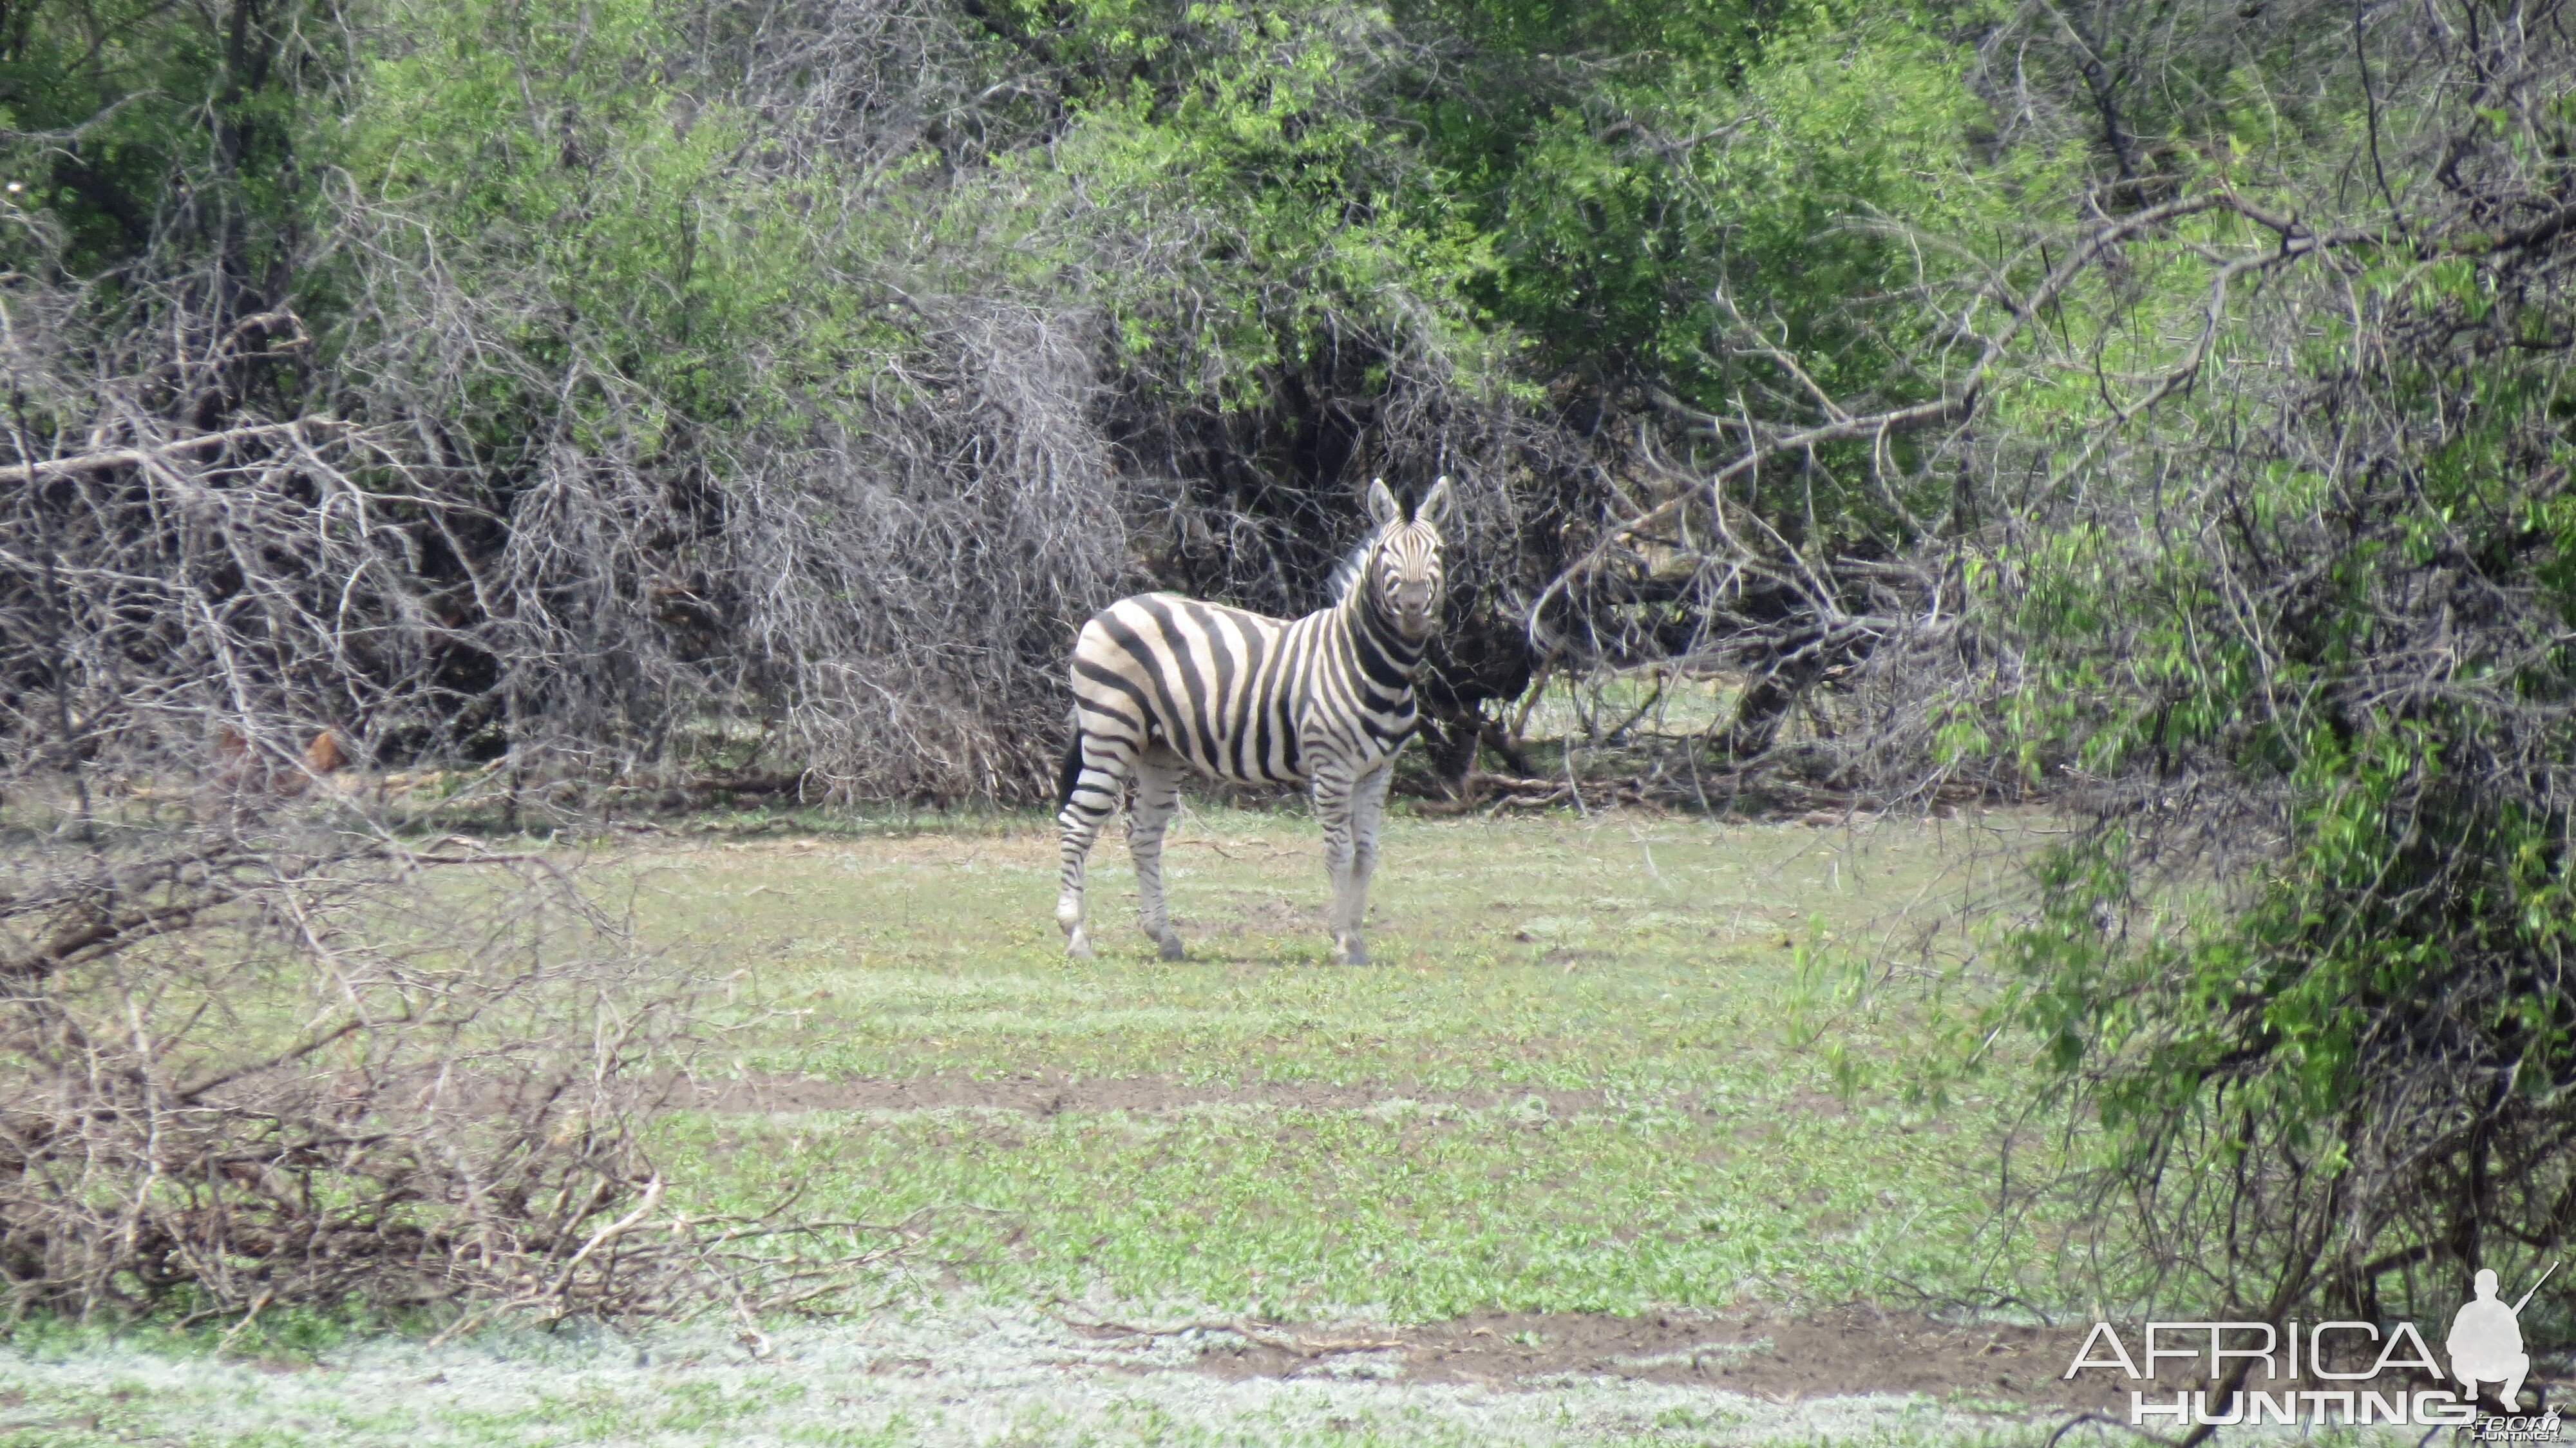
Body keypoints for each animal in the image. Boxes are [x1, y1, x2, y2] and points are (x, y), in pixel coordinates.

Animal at [1046, 479, 1453, 964]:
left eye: (1438, 550)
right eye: (1387, 550)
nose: (1412, 609)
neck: (1374, 666)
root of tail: (1109, 610)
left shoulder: (1379, 770)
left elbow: (1368, 853)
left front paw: (1357, 941)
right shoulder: (1332, 767)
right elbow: (1340, 851)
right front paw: (1340, 940)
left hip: (1159, 750)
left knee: (1143, 832)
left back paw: (1164, 936)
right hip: (1110, 732)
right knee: (1077, 822)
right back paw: (1076, 935)